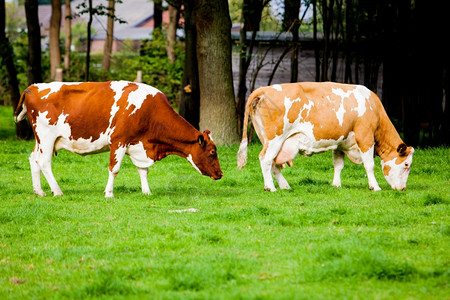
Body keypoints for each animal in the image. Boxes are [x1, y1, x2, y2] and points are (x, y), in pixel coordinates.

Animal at [14, 80, 223, 197]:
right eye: (212, 152)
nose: (220, 174)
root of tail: (32, 87)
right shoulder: (119, 141)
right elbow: (114, 169)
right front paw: (109, 193)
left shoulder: (139, 145)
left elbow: (143, 171)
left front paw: (147, 192)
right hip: (46, 137)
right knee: (44, 162)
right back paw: (57, 191)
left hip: (41, 140)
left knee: (34, 159)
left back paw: (39, 191)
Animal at [237, 81, 414, 192]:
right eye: (406, 164)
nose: (403, 188)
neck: (373, 107)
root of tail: (264, 89)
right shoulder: (365, 137)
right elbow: (369, 165)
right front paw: (375, 187)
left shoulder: (340, 142)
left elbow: (338, 165)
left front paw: (336, 185)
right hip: (275, 138)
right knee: (266, 160)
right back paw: (270, 187)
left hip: (270, 140)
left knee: (274, 164)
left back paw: (284, 186)